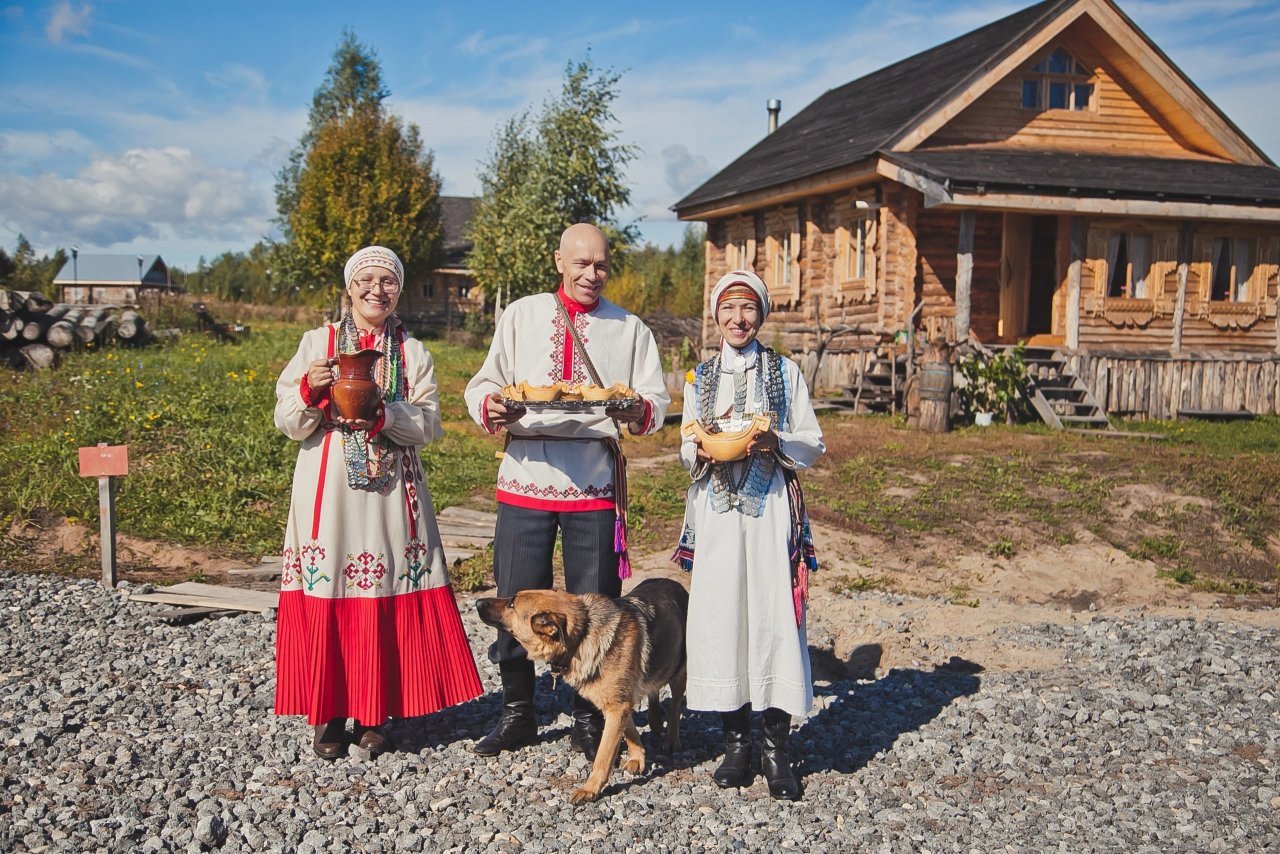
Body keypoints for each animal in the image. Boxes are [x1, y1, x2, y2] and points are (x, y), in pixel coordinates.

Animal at [476, 578, 691, 804]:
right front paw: (637, 757)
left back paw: (671, 739)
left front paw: (590, 789)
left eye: (512, 604)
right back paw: (655, 720)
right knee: (653, 688)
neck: (581, 636)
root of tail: (672, 582)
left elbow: (603, 757)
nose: (478, 602)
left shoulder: (617, 708)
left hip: (679, 673)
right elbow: (630, 731)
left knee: (675, 706)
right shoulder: (619, 704)